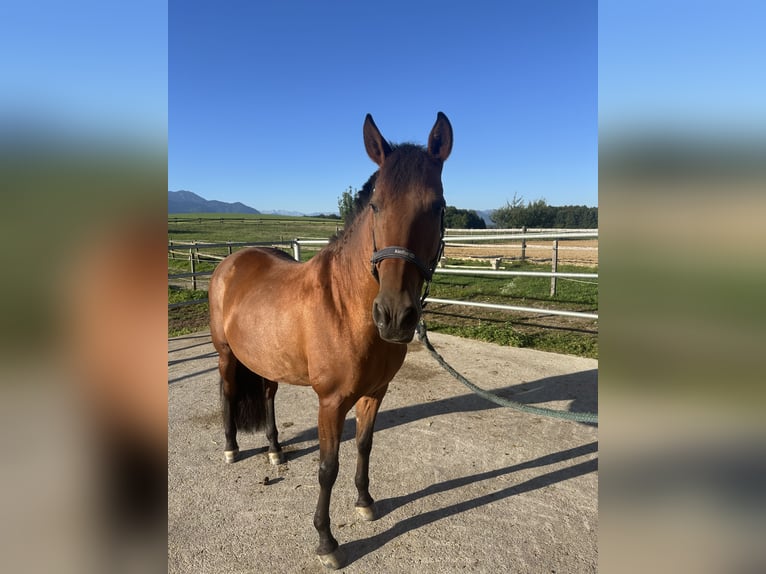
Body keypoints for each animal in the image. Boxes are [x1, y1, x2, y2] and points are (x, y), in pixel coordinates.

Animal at [208, 112, 453, 569]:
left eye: (438, 206)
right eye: (376, 205)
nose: (394, 316)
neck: (346, 306)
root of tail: (230, 262)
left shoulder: (375, 393)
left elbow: (364, 446)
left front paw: (366, 502)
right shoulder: (331, 402)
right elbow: (327, 467)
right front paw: (327, 542)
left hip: (267, 359)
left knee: (266, 396)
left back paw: (275, 450)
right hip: (227, 354)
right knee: (230, 393)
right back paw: (231, 448)